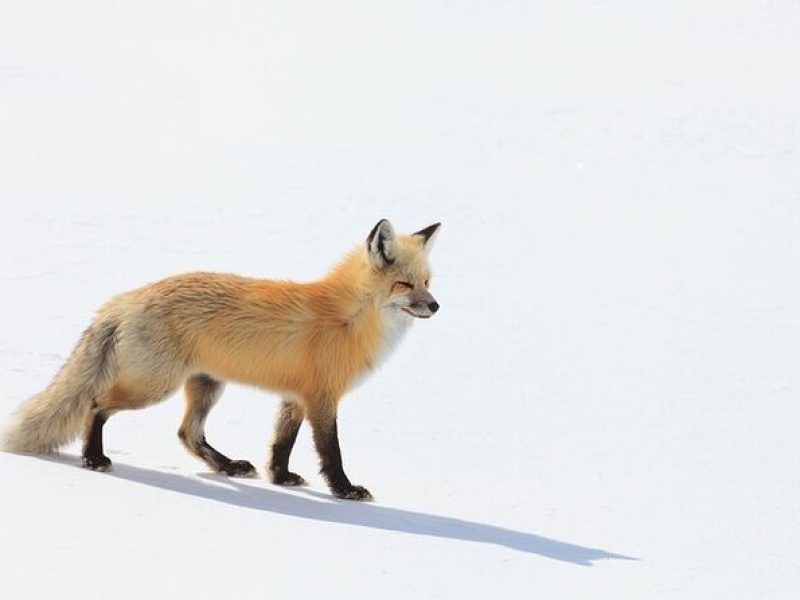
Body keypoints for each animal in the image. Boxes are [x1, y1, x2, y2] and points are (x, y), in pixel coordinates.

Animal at [1, 220, 438, 502]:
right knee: (95, 405)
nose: (435, 306)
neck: (348, 318)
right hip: (152, 387)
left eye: (427, 282)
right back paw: (93, 459)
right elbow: (331, 452)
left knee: (187, 434)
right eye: (404, 284)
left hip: (206, 385)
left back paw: (228, 466)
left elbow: (281, 444)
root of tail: (127, 298)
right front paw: (345, 491)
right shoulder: (321, 397)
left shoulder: (296, 397)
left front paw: (280, 479)